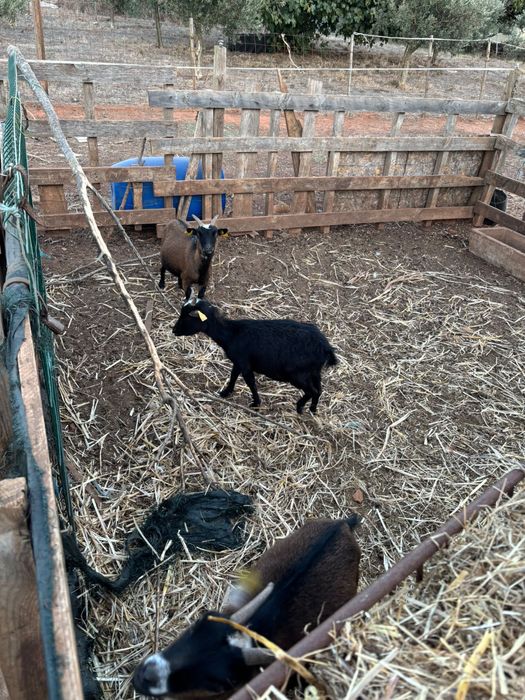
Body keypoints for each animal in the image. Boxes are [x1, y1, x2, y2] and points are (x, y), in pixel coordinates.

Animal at [172, 299, 337, 414]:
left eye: (187, 317)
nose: (173, 330)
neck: (231, 334)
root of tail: (326, 348)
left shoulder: (245, 363)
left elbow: (250, 382)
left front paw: (256, 403)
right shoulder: (238, 362)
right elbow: (233, 376)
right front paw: (226, 392)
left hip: (298, 374)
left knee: (312, 391)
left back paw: (299, 407)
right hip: (314, 372)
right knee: (319, 390)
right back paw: (313, 409)